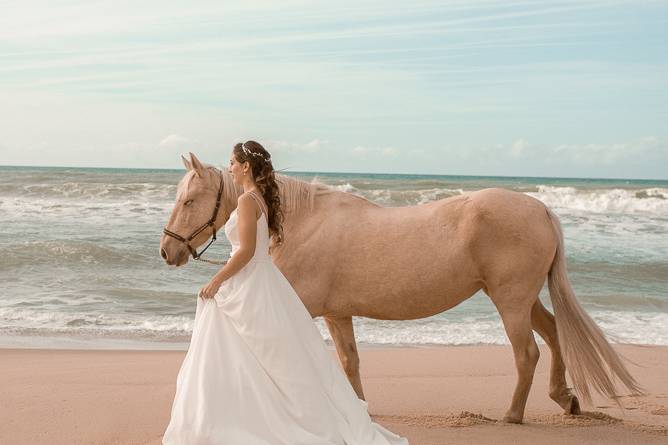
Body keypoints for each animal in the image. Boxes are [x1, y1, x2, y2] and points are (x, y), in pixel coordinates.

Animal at [160, 153, 640, 424]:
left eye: (189, 200)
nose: (167, 251)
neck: (295, 223)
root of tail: (540, 208)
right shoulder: (338, 313)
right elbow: (350, 362)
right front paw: (358, 410)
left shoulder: (306, 308)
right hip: (520, 298)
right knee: (555, 333)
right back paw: (565, 399)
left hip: (511, 301)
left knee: (527, 353)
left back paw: (512, 416)